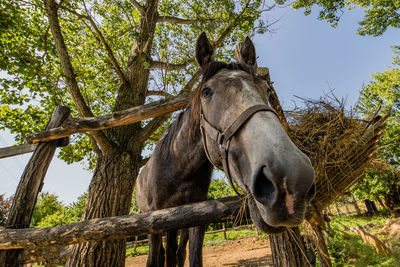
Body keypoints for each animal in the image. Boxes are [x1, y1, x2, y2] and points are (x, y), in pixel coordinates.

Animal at [136, 32, 318, 266]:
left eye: (267, 90)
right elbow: (154, 259)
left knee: (176, 252)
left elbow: (191, 257)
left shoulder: (195, 220)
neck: (178, 166)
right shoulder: (153, 221)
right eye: (206, 91)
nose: (291, 181)